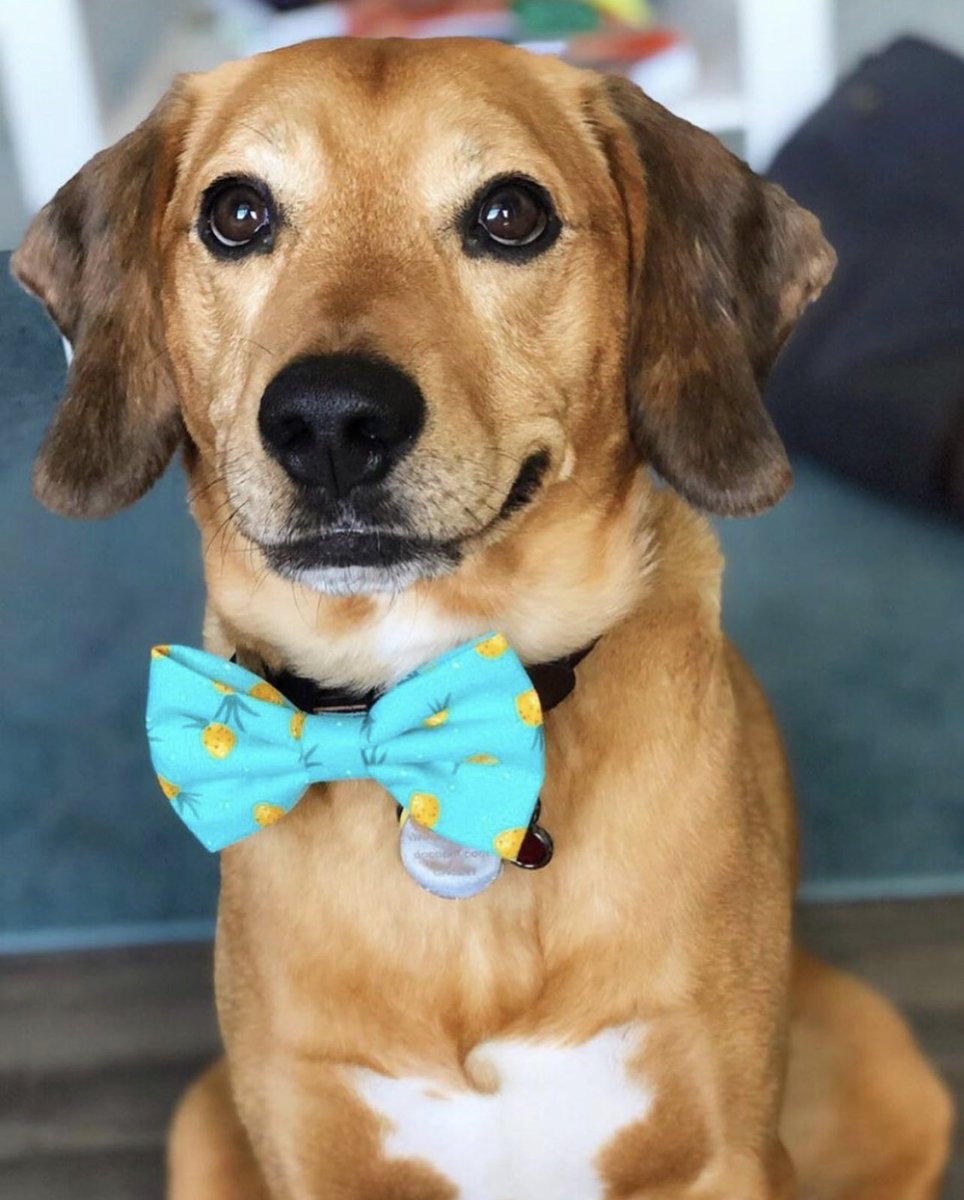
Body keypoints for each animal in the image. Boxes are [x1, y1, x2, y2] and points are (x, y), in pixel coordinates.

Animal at [11, 35, 955, 1200]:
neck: (428, 703)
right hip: (199, 1124)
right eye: (237, 213)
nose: (329, 419)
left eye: (511, 215)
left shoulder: (725, 1157)